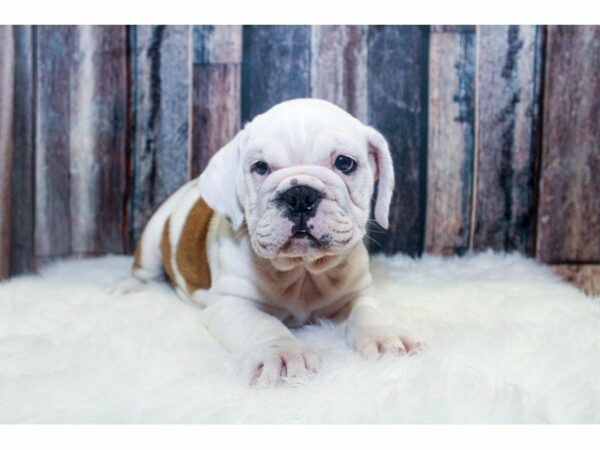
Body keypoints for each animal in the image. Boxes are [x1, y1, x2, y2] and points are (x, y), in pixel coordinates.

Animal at [120, 97, 422, 384]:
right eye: (261, 167)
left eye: (345, 163)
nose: (300, 195)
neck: (302, 270)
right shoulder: (231, 303)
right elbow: (264, 324)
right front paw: (283, 354)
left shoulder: (357, 292)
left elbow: (366, 312)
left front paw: (383, 336)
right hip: (153, 239)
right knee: (143, 271)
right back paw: (127, 289)